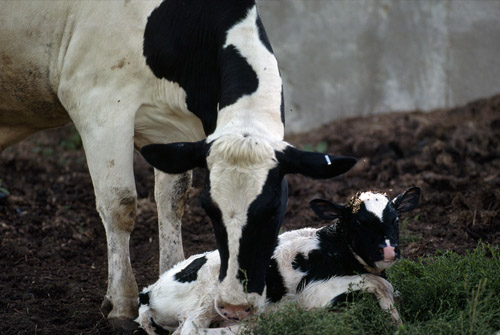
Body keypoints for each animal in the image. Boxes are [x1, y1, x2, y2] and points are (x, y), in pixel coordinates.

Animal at [0, 0, 356, 330]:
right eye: (210, 211)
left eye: (273, 211)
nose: (236, 306)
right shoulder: (99, 105)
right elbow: (119, 204)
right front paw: (121, 303)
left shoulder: (174, 133)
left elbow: (171, 200)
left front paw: (169, 273)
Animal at [135, 188, 420, 334]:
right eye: (359, 223)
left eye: (395, 219)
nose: (389, 251)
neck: (333, 245)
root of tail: (149, 290)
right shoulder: (313, 292)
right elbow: (380, 285)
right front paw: (397, 323)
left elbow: (390, 287)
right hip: (207, 299)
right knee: (191, 331)